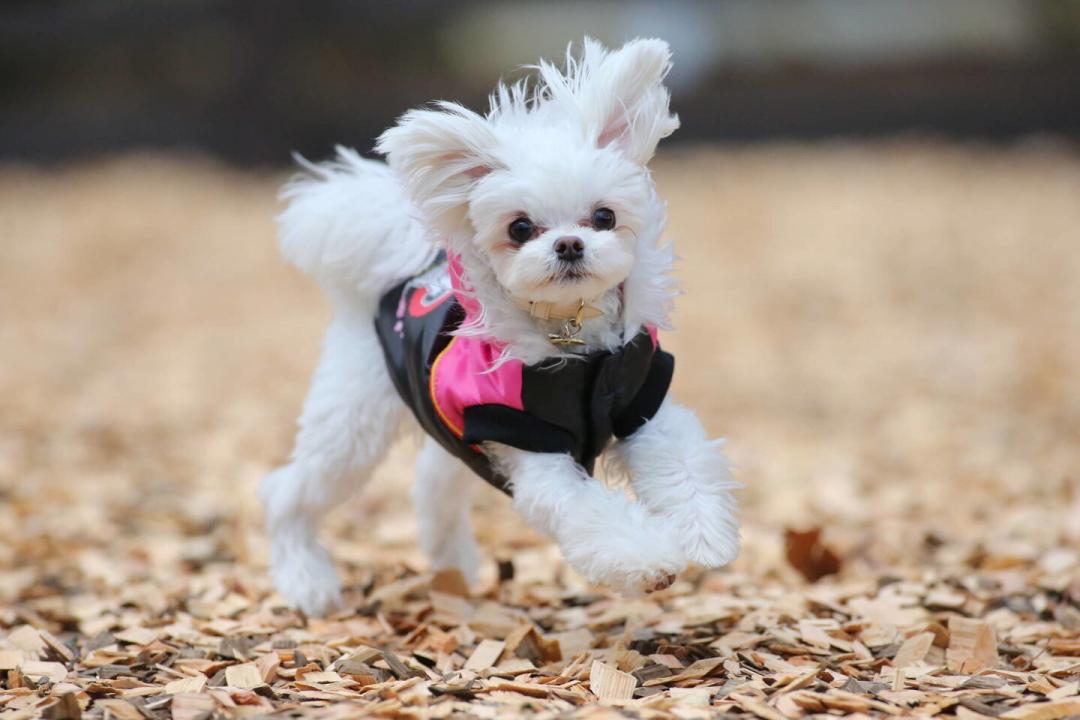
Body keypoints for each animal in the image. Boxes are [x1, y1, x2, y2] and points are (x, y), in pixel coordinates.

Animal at [259, 36, 743, 617]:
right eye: (520, 228)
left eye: (604, 217)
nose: (569, 244)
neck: (575, 343)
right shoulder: (526, 440)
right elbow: (590, 514)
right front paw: (649, 560)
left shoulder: (642, 401)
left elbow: (683, 466)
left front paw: (705, 534)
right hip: (354, 423)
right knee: (289, 492)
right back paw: (305, 580)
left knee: (432, 483)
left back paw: (452, 567)